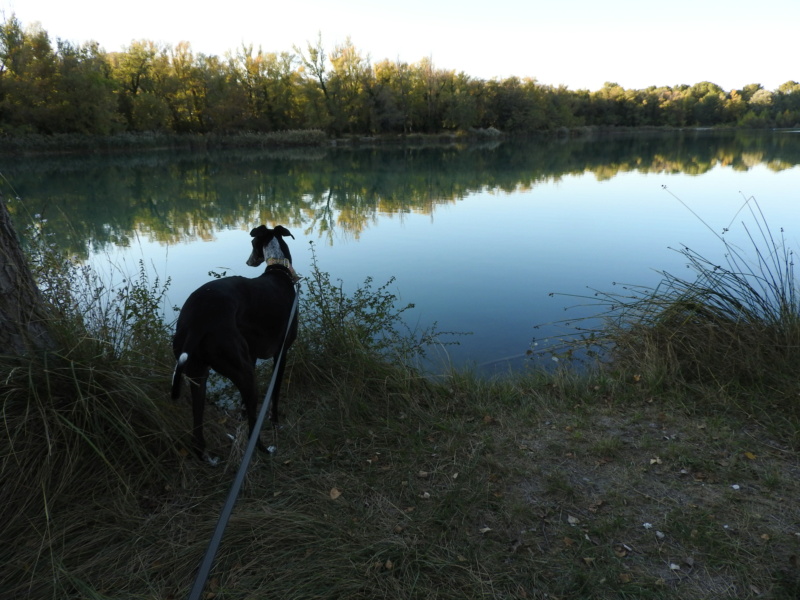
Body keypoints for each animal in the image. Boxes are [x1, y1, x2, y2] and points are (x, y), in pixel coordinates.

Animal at [170, 223, 298, 462]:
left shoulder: (254, 355)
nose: (248, 262)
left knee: (197, 433)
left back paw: (208, 458)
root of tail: (197, 323)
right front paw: (276, 423)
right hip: (244, 373)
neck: (279, 271)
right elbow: (275, 395)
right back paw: (265, 450)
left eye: (252, 244)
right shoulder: (281, 353)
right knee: (252, 430)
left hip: (199, 376)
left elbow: (243, 407)